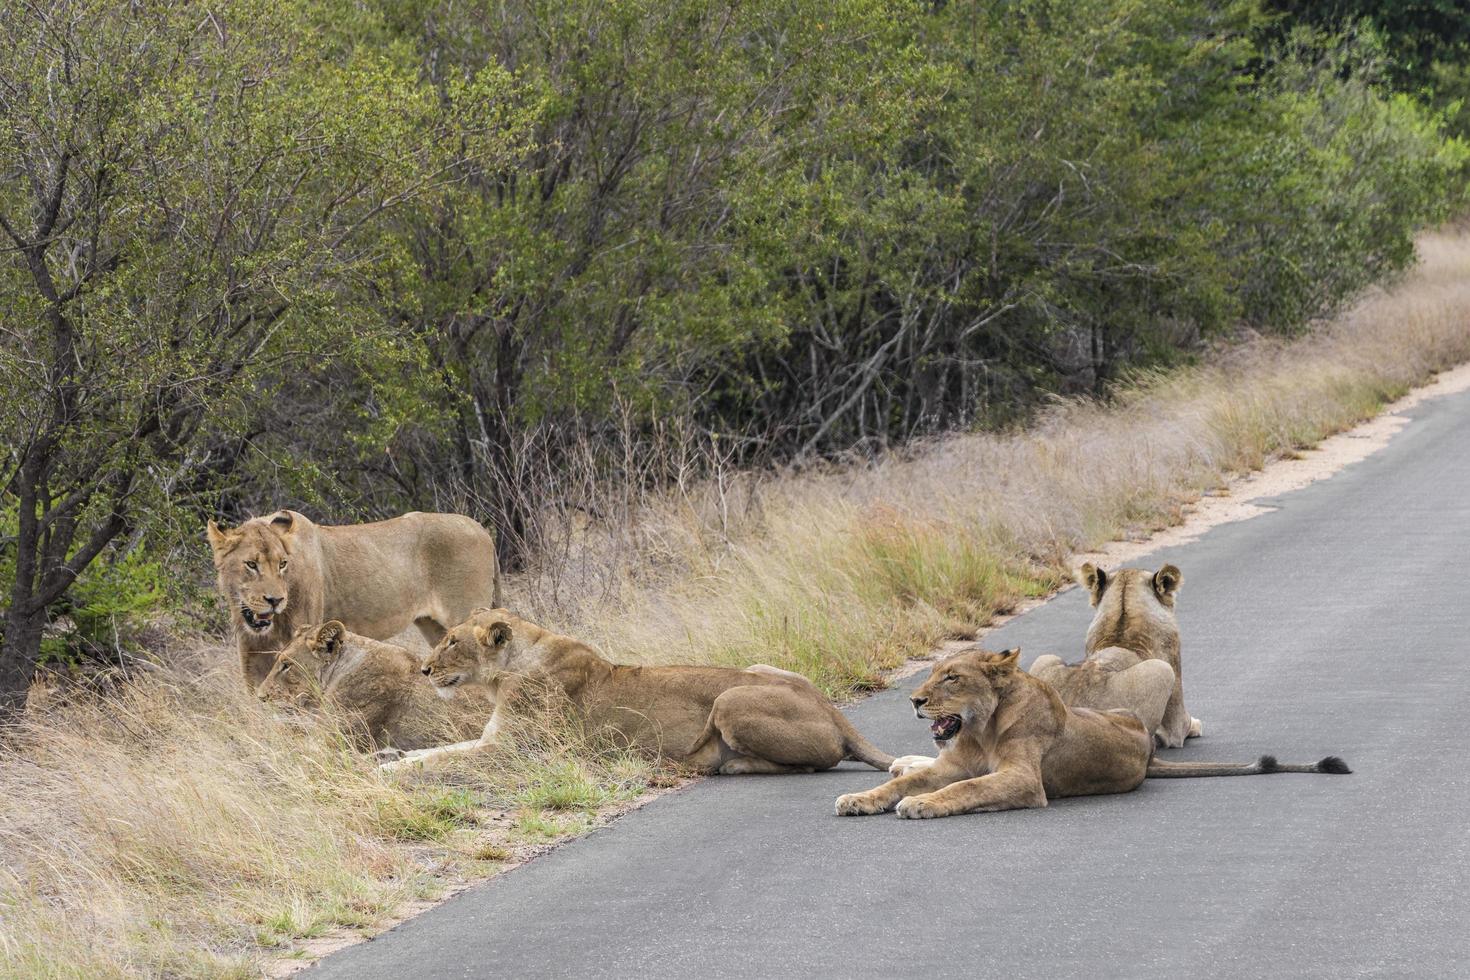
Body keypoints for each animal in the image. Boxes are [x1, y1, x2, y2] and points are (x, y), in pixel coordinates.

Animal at [207, 511, 502, 693]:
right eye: (251, 564)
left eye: (282, 564)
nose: (275, 600)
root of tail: (480, 528)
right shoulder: (250, 655)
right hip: (434, 627)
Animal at [376, 608, 893, 775]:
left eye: (451, 642)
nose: (424, 669)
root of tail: (833, 711)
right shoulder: (491, 739)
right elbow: (439, 750)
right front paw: (387, 758)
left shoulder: (516, 751)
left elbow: (442, 759)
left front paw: (390, 772)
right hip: (759, 667)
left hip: (729, 699)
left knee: (818, 762)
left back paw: (730, 764)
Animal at [834, 652, 1346, 822]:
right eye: (931, 674)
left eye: (952, 678)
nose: (914, 700)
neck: (981, 729)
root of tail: (1148, 755)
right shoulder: (951, 764)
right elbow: (906, 782)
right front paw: (859, 798)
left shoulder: (1026, 781)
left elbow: (968, 788)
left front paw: (923, 804)